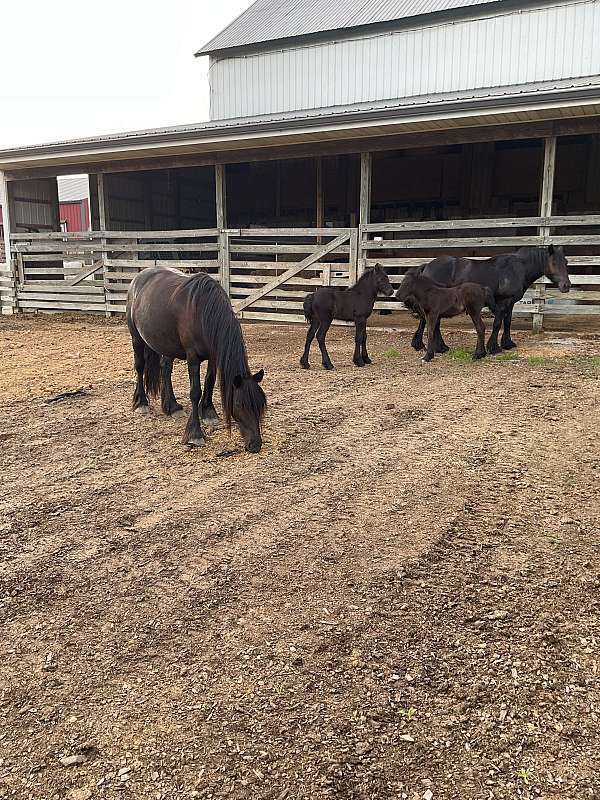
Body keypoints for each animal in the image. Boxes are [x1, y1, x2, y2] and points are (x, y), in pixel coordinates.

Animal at [126, 267, 266, 452]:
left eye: (260, 404)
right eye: (239, 405)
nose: (255, 445)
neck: (204, 313)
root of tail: (138, 278)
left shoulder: (213, 357)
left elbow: (210, 381)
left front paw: (208, 412)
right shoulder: (192, 358)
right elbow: (195, 392)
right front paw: (195, 434)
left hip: (166, 344)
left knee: (166, 368)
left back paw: (172, 406)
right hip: (136, 338)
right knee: (140, 366)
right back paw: (141, 403)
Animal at [410, 245, 570, 355]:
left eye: (566, 262)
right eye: (554, 263)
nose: (566, 285)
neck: (516, 269)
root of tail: (427, 266)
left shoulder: (511, 303)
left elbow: (507, 322)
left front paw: (507, 343)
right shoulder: (503, 302)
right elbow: (497, 323)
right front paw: (493, 347)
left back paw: (433, 346)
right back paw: (437, 347)